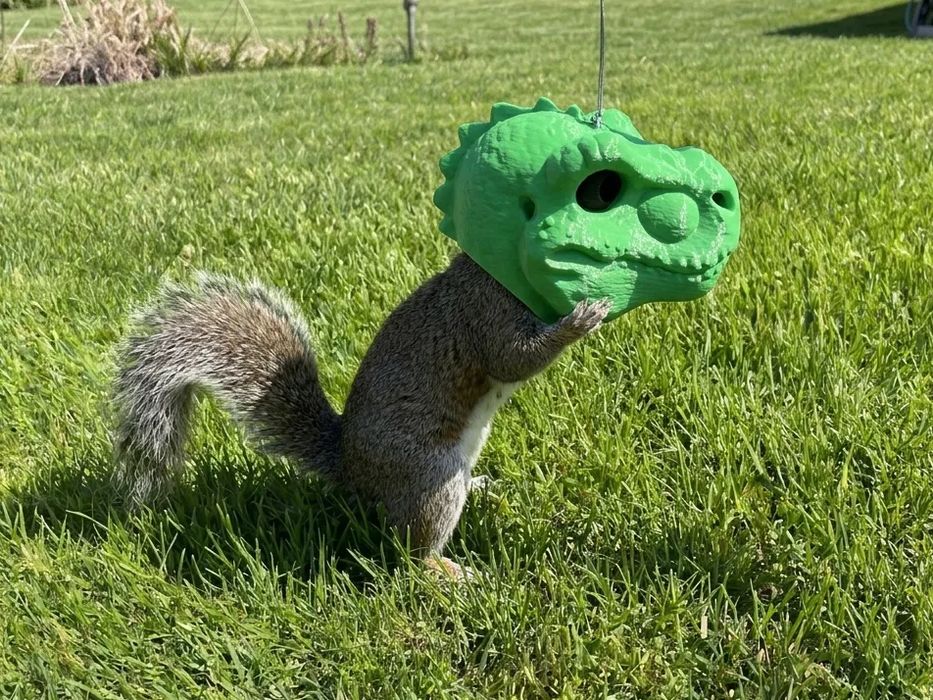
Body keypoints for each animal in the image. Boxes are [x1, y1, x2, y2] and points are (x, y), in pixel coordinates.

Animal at [113, 253, 612, 577]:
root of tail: (351, 470)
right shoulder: (485, 311)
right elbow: (513, 359)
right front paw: (579, 321)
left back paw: (482, 487)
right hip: (430, 476)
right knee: (412, 552)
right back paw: (446, 571)